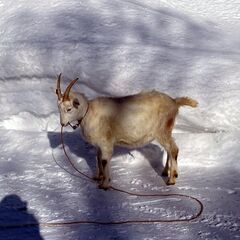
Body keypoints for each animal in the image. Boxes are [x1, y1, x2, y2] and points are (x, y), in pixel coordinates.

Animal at [55, 73, 197, 189]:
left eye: (69, 109)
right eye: (58, 107)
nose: (62, 123)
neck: (88, 112)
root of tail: (174, 102)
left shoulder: (106, 143)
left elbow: (104, 161)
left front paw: (105, 184)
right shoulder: (99, 145)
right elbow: (98, 158)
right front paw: (98, 177)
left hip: (162, 130)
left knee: (173, 149)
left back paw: (172, 179)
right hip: (167, 131)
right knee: (169, 149)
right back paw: (165, 172)